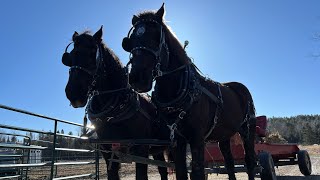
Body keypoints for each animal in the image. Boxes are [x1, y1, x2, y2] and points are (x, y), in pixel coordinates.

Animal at [61, 26, 170, 180]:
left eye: (92, 54)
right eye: (70, 57)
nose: (73, 92)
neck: (115, 112)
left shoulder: (141, 150)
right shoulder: (107, 151)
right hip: (157, 149)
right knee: (163, 170)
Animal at [122, 4, 258, 180]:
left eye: (156, 37)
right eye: (130, 42)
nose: (137, 78)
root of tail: (241, 88)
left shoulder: (197, 139)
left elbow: (197, 172)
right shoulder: (177, 141)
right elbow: (181, 172)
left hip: (248, 130)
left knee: (250, 160)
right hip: (224, 134)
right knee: (229, 162)